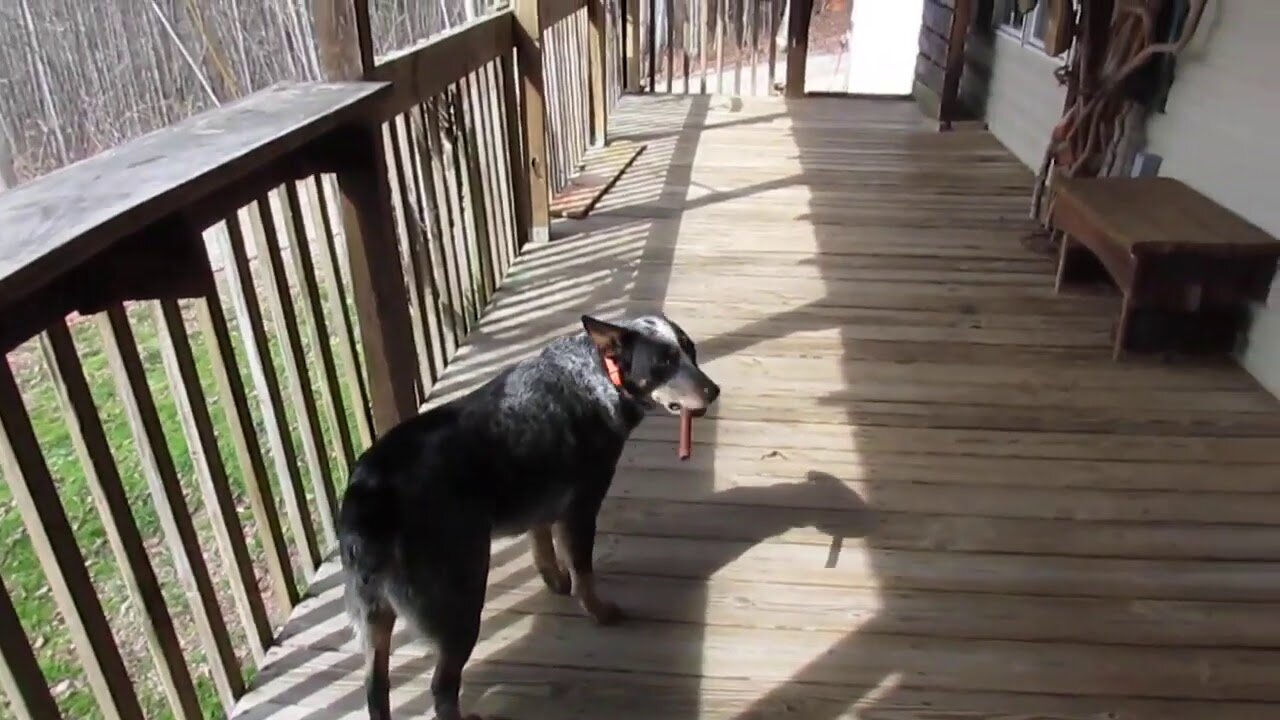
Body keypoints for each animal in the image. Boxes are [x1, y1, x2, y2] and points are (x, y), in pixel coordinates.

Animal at [337, 312, 721, 717]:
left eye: (691, 352)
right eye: (663, 363)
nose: (714, 391)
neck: (597, 374)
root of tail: (367, 494)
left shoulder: (541, 495)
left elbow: (541, 541)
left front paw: (554, 579)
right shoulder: (581, 506)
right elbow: (584, 572)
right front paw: (599, 611)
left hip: (374, 621)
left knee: (376, 688)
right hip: (460, 604)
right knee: (441, 686)